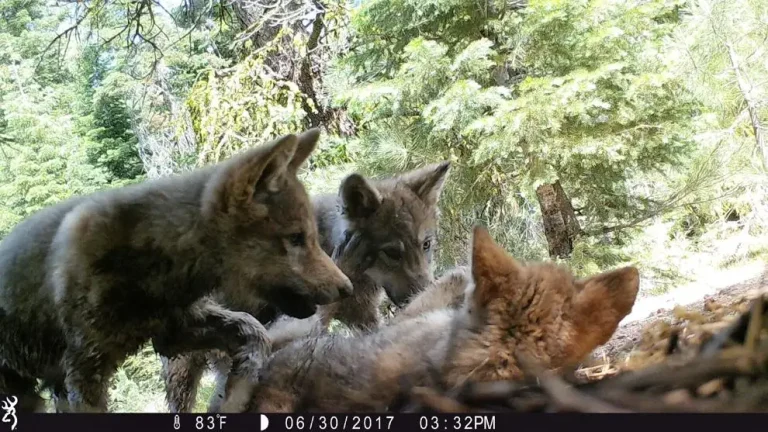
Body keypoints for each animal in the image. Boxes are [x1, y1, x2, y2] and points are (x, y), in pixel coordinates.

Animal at [0, 129, 353, 413]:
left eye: (311, 237)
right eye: (295, 239)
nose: (347, 288)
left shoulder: (173, 333)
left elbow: (255, 333)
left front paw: (235, 394)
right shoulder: (84, 371)